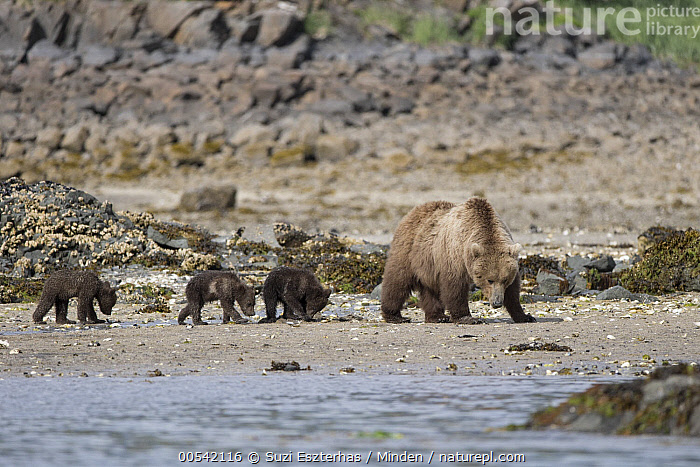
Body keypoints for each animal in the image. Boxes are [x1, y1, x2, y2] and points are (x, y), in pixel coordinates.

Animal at [380, 198, 536, 325]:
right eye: (489, 280)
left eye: (505, 279)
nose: (497, 302)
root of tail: (413, 211)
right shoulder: (454, 256)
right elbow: (455, 287)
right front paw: (468, 318)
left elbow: (513, 291)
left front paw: (525, 316)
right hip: (408, 252)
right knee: (398, 281)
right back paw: (395, 316)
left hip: (429, 265)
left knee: (430, 290)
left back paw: (438, 317)